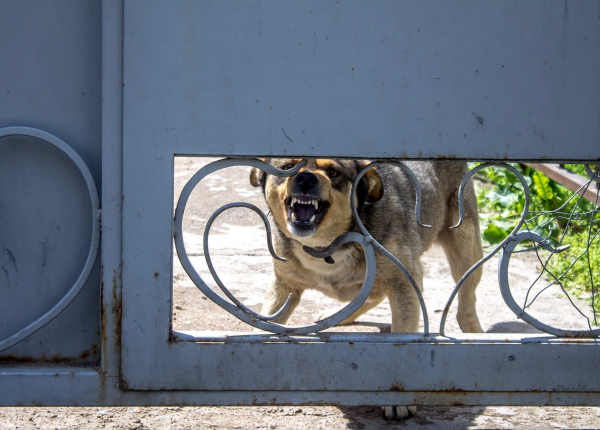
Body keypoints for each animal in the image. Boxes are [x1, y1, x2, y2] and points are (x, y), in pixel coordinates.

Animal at [248, 159, 482, 420]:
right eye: (287, 166)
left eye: (333, 172)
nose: (306, 178)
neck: (326, 247)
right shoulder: (284, 285)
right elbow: (265, 322)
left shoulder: (403, 283)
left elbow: (402, 334)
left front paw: (397, 400)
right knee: (371, 296)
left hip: (466, 248)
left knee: (465, 305)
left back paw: (476, 333)